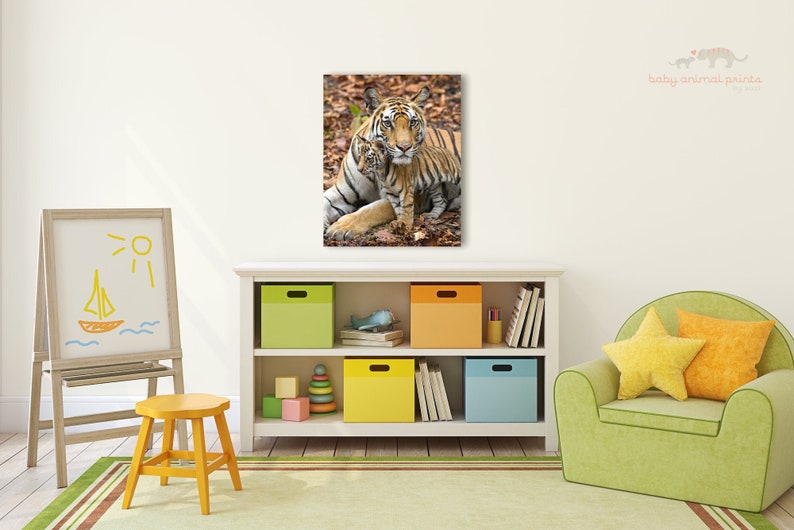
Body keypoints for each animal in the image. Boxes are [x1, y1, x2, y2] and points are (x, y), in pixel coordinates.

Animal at [324, 86, 461, 241]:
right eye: (388, 123)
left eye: (412, 122)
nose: (405, 147)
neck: (376, 169)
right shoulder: (341, 192)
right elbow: (324, 201)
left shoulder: (416, 195)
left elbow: (373, 209)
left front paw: (342, 227)